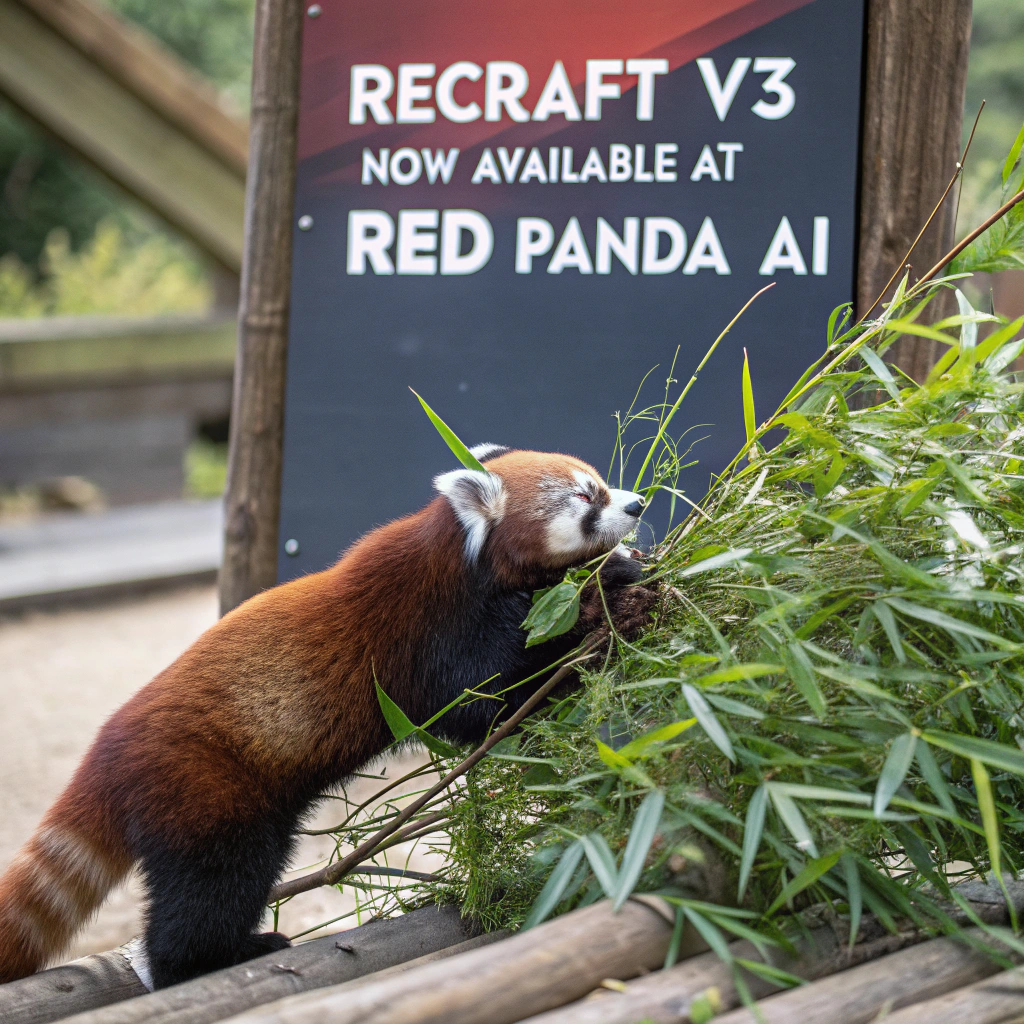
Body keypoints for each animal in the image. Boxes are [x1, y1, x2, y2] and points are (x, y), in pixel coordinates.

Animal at [0, 446, 653, 988]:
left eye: (602, 484)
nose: (637, 502)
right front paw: (602, 610)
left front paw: (622, 575)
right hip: (208, 791)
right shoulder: (430, 636)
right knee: (213, 888)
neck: (462, 559)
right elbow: (481, 700)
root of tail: (108, 748)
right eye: (586, 498)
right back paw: (214, 958)